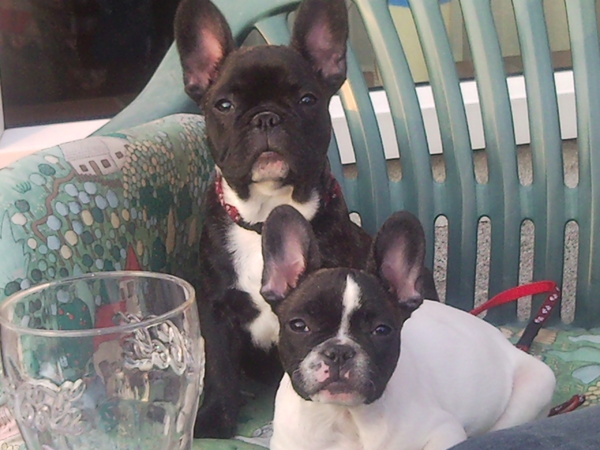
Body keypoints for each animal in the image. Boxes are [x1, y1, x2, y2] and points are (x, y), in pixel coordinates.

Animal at [262, 205, 556, 450]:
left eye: (381, 330)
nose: (339, 352)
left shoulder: (443, 431)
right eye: (299, 325)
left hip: (535, 388)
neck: (344, 418)